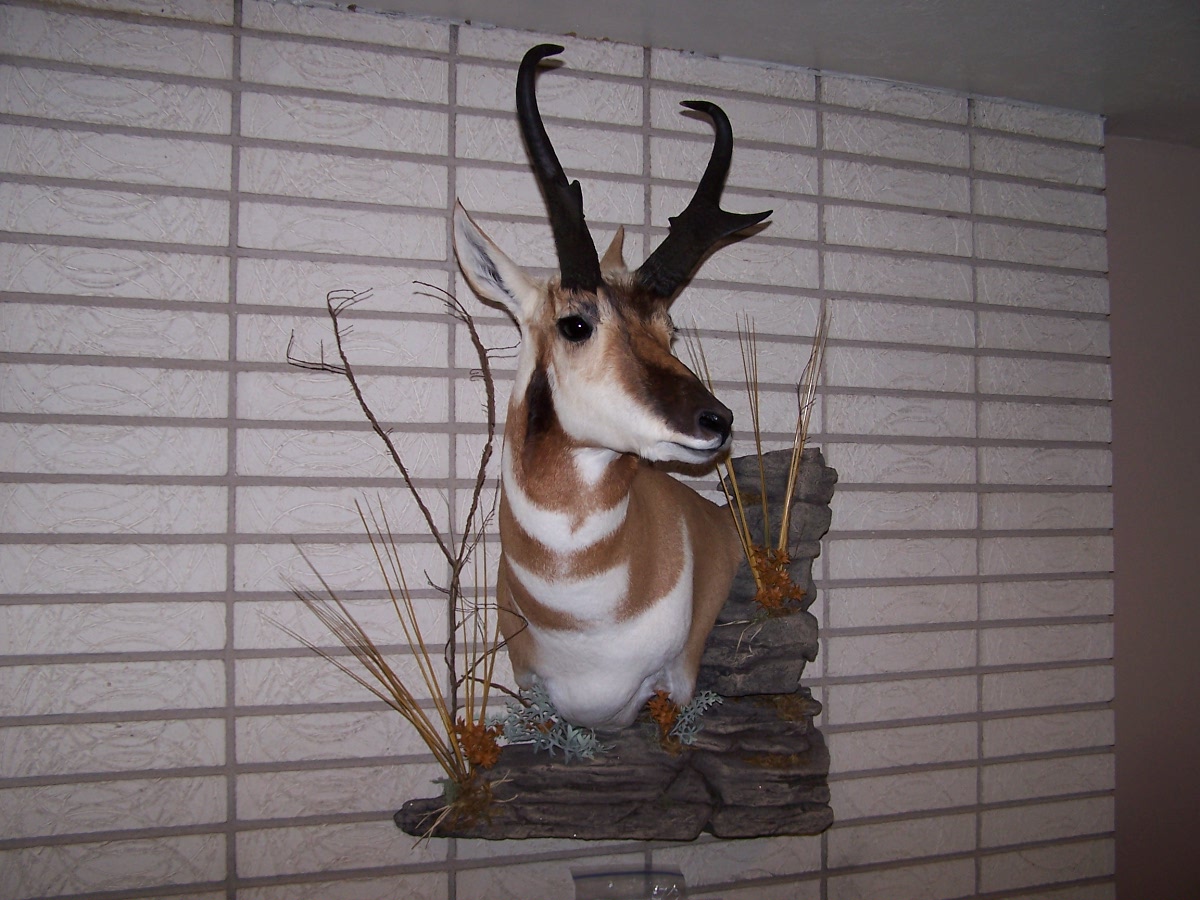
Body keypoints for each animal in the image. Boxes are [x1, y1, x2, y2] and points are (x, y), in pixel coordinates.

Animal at [453, 44, 771, 729]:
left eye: (669, 327)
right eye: (576, 323)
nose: (718, 421)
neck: (584, 619)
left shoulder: (671, 690)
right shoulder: (534, 694)